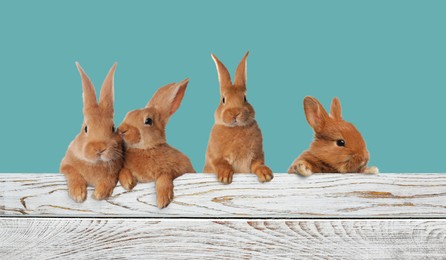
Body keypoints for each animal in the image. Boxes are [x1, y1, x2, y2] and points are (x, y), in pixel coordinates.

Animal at [59, 62, 123, 201]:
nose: (100, 148)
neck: (96, 163)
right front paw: (78, 194)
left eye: (113, 128)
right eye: (86, 128)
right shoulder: (65, 165)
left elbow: (110, 178)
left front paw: (99, 194)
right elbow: (73, 173)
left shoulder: (115, 171)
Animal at [117, 78, 196, 208]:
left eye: (148, 121)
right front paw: (127, 183)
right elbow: (123, 171)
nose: (122, 130)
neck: (146, 149)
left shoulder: (179, 169)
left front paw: (162, 200)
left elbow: (164, 176)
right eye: (128, 114)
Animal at [204, 51, 274, 184]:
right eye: (223, 100)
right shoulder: (213, 156)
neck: (236, 128)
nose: (235, 113)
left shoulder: (256, 156)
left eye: (245, 98)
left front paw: (266, 174)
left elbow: (257, 164)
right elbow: (220, 163)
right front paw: (225, 177)